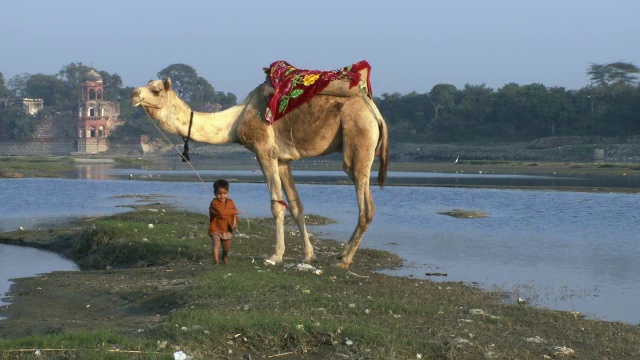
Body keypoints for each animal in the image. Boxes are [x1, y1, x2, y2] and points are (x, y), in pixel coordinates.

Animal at [129, 74, 388, 270]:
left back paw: (344, 260)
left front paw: (276, 256)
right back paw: (341, 254)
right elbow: (296, 206)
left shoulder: (265, 151)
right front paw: (308, 255)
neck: (235, 121)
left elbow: (277, 206)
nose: (133, 94)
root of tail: (376, 114)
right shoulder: (282, 159)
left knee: (366, 205)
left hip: (358, 139)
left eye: (155, 91)